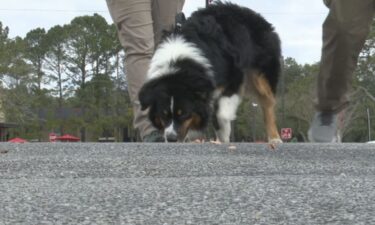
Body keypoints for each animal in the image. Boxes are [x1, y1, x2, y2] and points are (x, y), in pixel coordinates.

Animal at [140, 1, 284, 143]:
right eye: (163, 115)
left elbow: (222, 113)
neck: (180, 63)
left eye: (184, 113)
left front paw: (224, 135)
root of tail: (258, 17)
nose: (171, 138)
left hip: (262, 76)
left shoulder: (234, 75)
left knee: (268, 105)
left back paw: (274, 138)